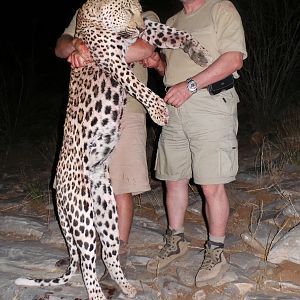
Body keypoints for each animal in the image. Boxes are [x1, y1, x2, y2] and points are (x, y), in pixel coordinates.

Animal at [14, 0, 211, 298]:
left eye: (139, 10)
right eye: (126, 10)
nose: (137, 26)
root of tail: (57, 186)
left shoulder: (143, 31)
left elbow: (172, 31)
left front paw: (199, 51)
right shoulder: (112, 57)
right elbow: (136, 85)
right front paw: (159, 110)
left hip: (106, 209)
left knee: (108, 252)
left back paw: (127, 287)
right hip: (81, 212)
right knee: (86, 262)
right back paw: (97, 292)